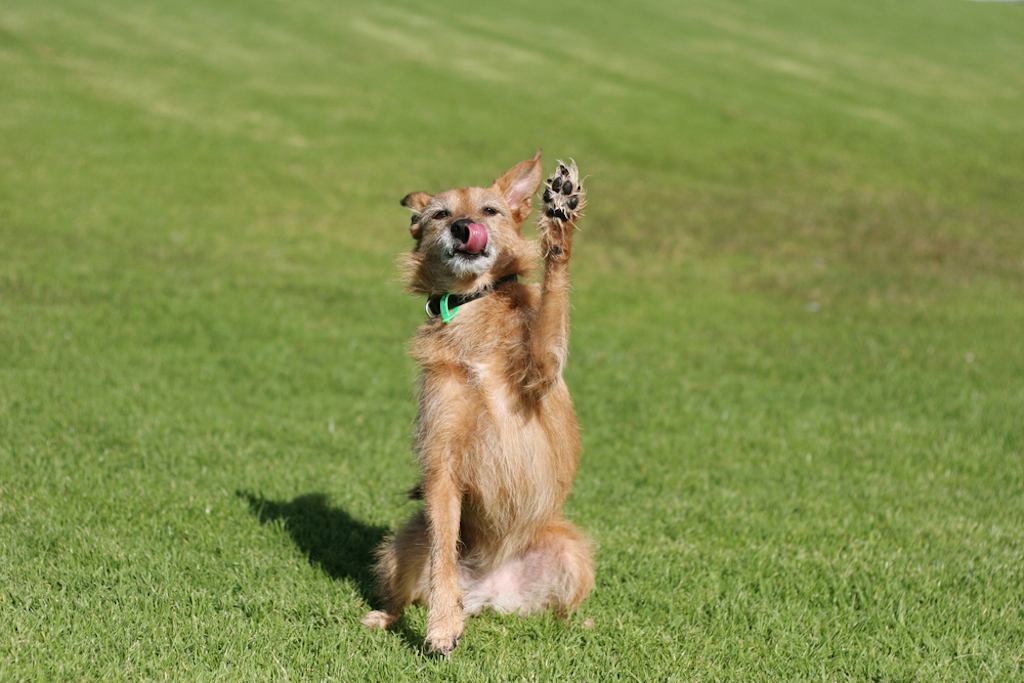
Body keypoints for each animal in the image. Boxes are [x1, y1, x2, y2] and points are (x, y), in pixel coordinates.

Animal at [364, 150, 598, 655]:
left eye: (490, 210)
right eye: (439, 214)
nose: (463, 227)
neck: (473, 305)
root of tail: (493, 594)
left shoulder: (542, 369)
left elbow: (552, 302)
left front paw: (560, 218)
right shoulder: (441, 461)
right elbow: (442, 556)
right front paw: (442, 625)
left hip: (572, 550)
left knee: (562, 612)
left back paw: (578, 626)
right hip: (403, 542)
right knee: (408, 587)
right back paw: (389, 616)